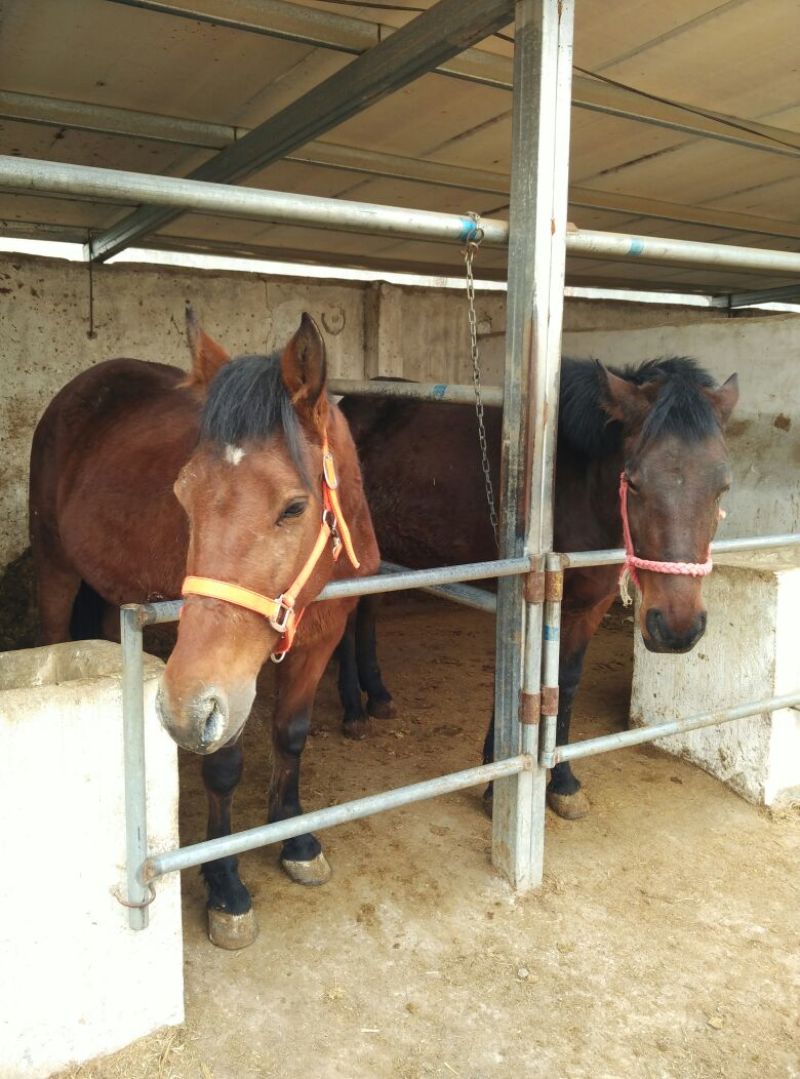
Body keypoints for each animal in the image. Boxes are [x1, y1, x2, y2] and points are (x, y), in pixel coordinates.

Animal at [29, 310, 379, 948]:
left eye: (294, 507)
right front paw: (225, 886)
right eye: (182, 495)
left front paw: (293, 840)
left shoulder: (319, 642)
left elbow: (292, 736)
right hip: (55, 567)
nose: (180, 709)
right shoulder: (218, 679)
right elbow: (222, 767)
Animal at [337, 356, 738, 819]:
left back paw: (378, 695)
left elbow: (565, 685)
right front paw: (496, 785)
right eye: (634, 481)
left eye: (722, 487)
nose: (676, 629)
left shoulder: (591, 607)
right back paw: (353, 712)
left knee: (367, 613)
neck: (571, 486)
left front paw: (563, 783)